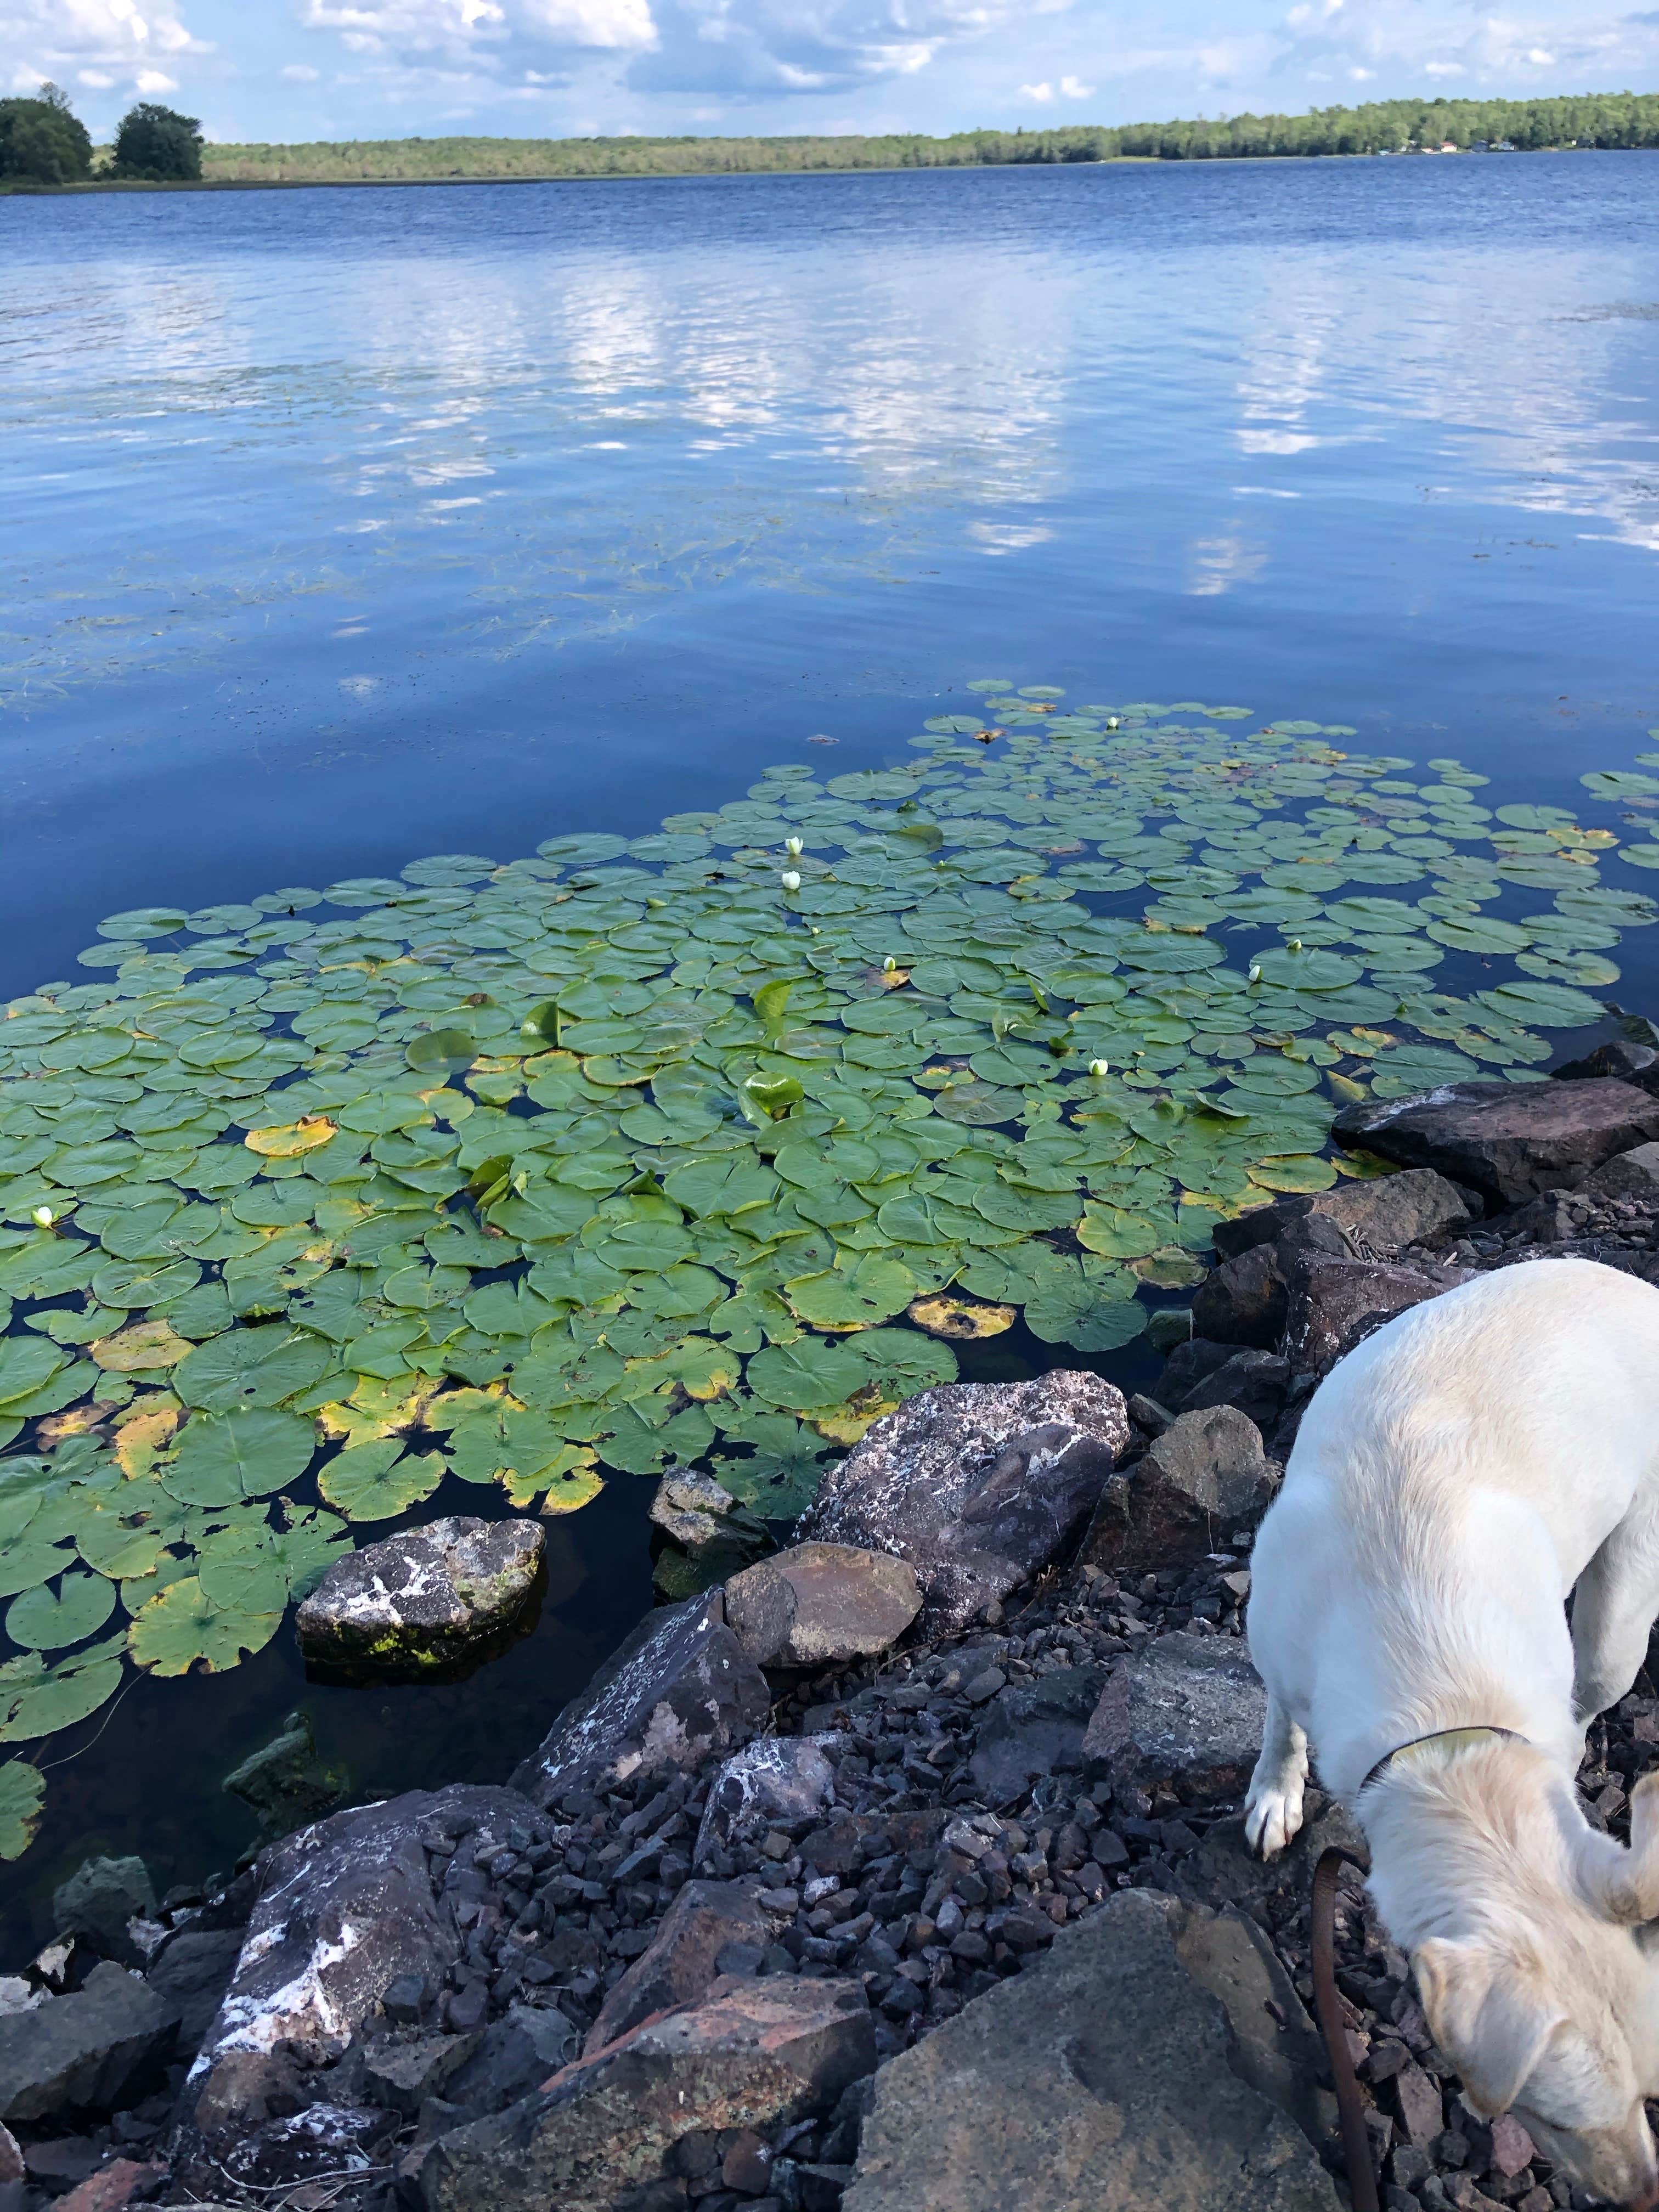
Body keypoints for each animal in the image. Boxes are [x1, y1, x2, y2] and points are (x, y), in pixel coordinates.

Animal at [1256, 1256, 1659, 2203]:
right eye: (1552, 2116)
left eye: (1652, 2094)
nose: (1646, 2195)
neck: (1447, 1731)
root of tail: (1636, 1285)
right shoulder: (1274, 1645)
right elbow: (1281, 1726)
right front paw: (1275, 1796)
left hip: (1619, 1618)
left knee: (1598, 1682)